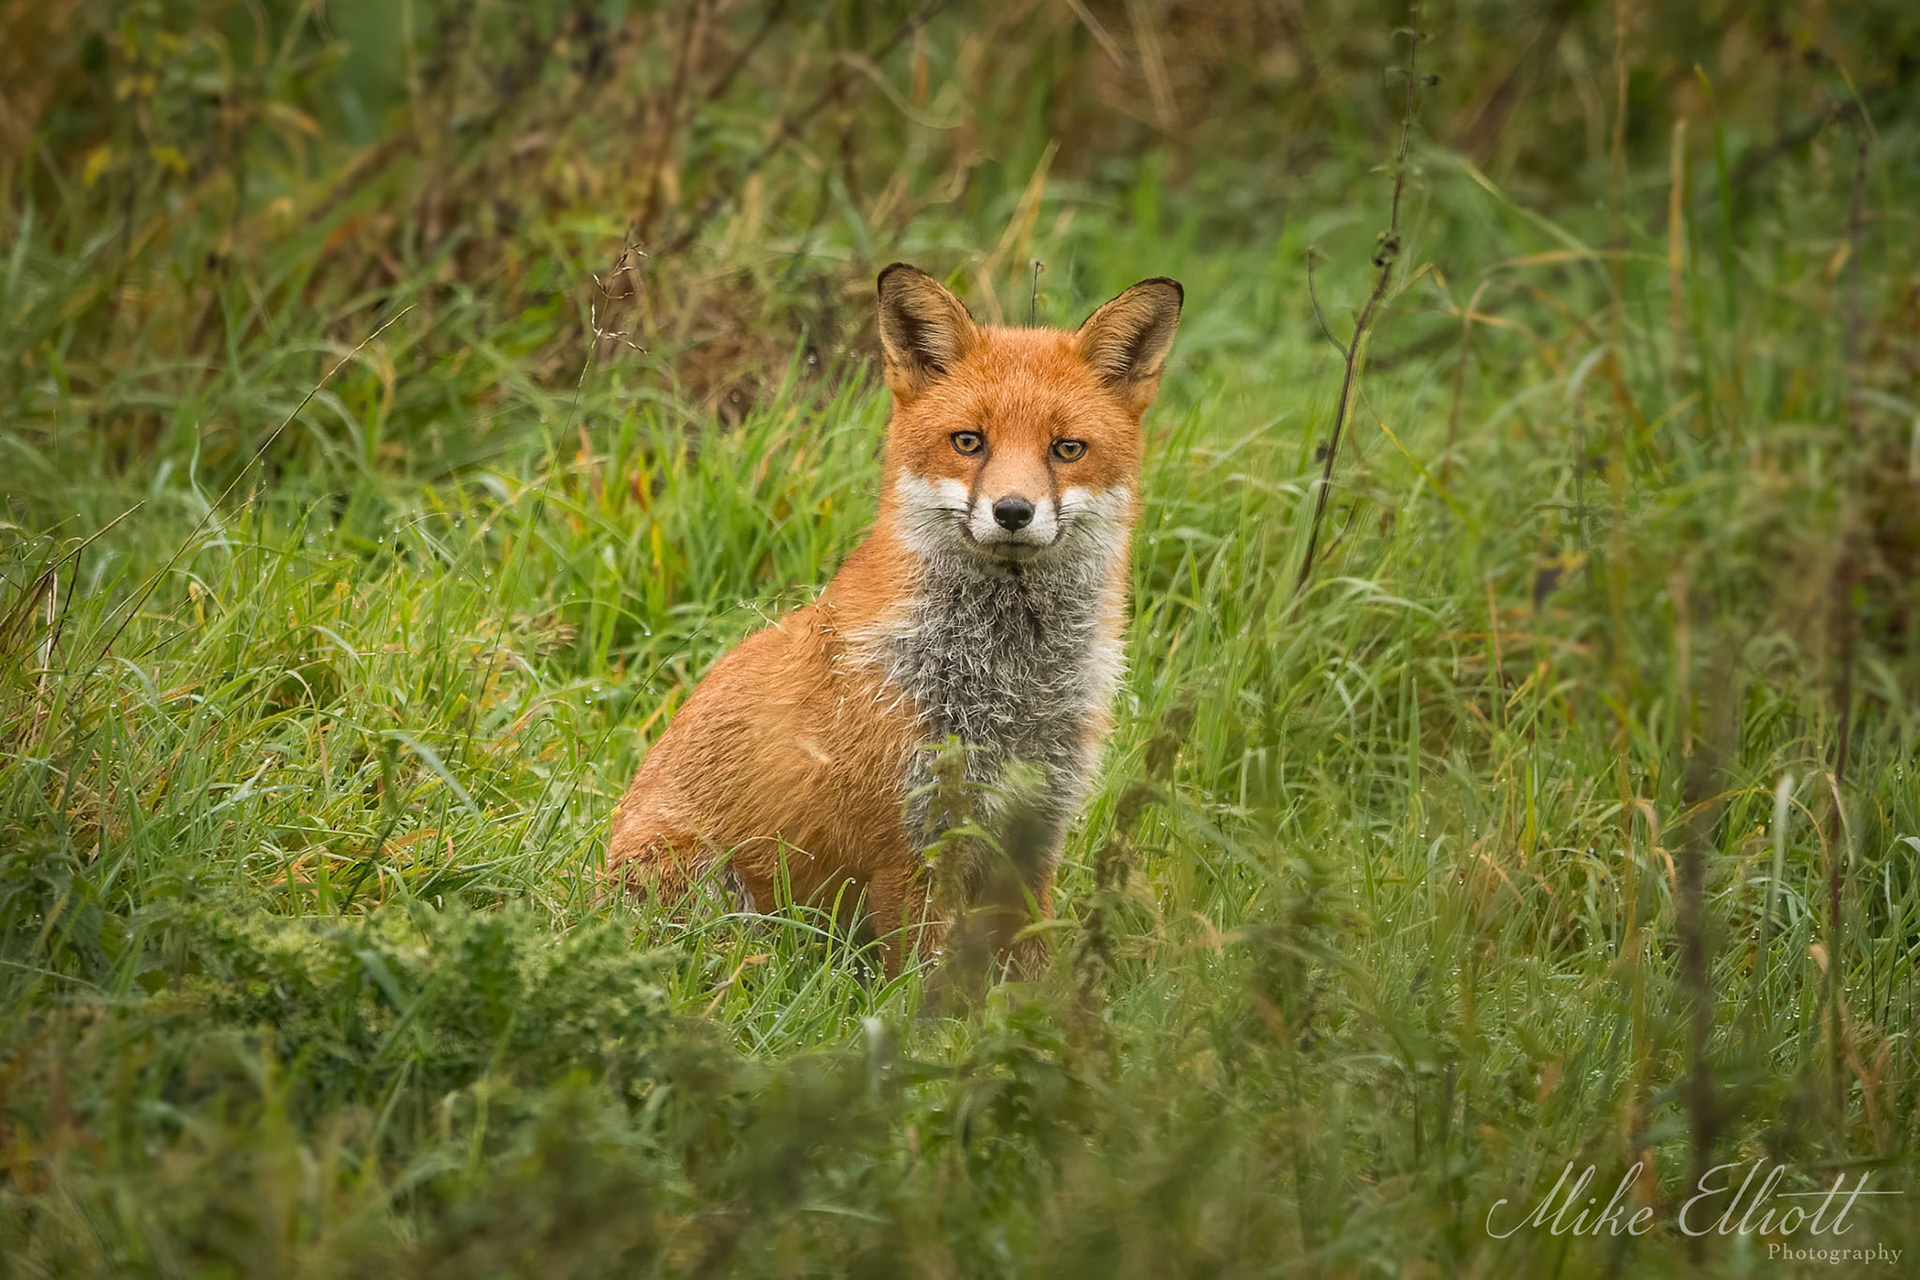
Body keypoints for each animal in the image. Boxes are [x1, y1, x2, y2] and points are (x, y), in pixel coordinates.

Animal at [605, 263, 1182, 976]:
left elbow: (1033, 969)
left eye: (1067, 448)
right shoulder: (910, 841)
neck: (1011, 679)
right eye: (969, 442)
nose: (1013, 511)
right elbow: (923, 980)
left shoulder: (1035, 830)